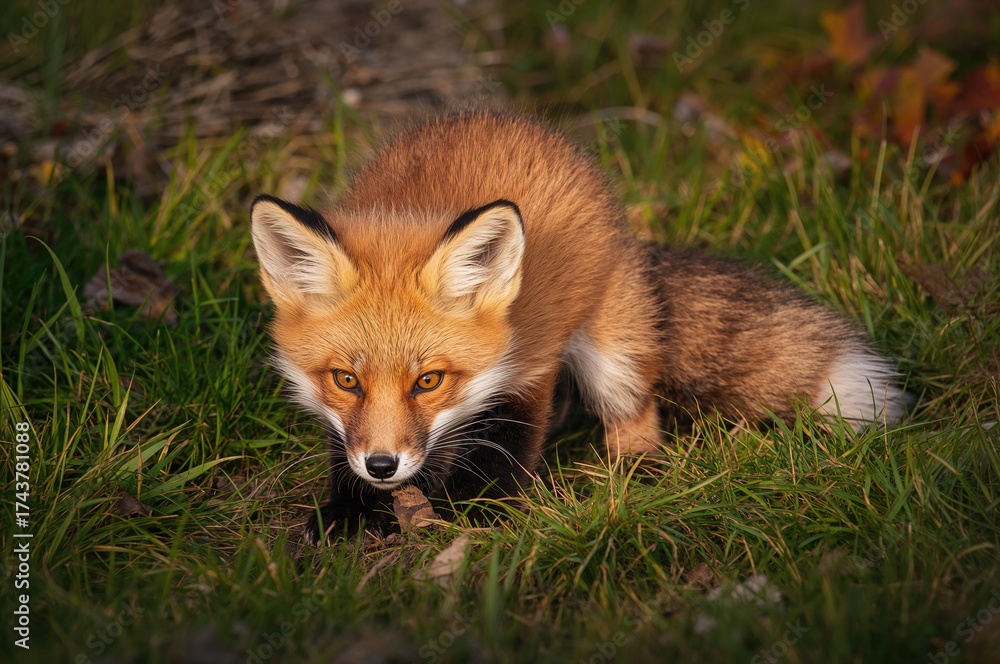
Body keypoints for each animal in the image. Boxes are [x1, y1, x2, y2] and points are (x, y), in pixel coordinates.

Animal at [249, 110, 906, 543]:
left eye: (429, 381)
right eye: (345, 380)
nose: (383, 466)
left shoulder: (530, 365)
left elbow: (509, 448)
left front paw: (476, 519)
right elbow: (341, 452)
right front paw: (346, 514)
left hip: (612, 352)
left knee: (636, 413)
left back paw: (631, 471)